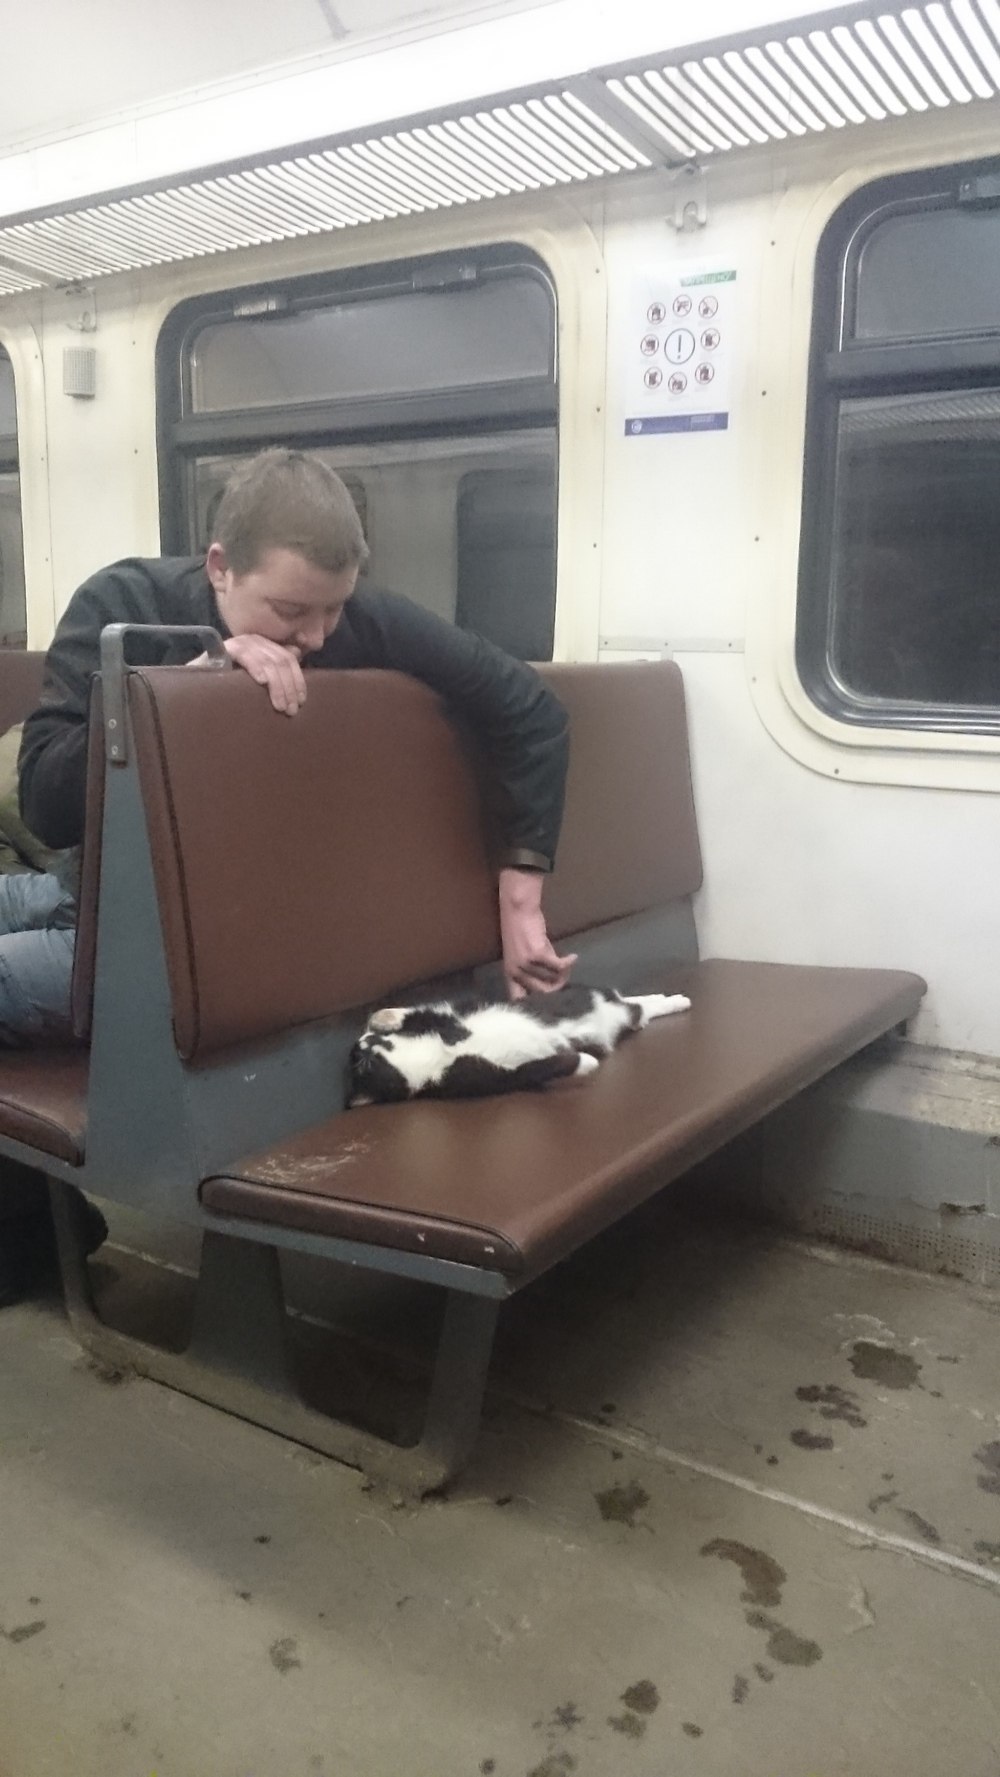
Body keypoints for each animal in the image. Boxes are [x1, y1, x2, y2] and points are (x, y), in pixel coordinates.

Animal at [348, 980, 692, 1101]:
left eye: (361, 1062)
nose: (358, 1043)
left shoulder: (447, 1016)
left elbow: (412, 1011)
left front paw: (382, 1017)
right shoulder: (494, 1077)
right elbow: (546, 1065)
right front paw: (585, 1061)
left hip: (602, 997)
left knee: (636, 1002)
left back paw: (678, 1000)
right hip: (625, 1016)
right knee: (640, 1009)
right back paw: (672, 1001)